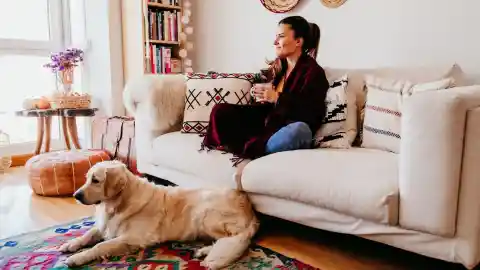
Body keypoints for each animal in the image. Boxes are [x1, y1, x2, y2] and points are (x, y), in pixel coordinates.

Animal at [62, 160, 260, 268]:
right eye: (87, 178)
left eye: (95, 180)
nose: (76, 195)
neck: (119, 203)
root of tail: (249, 206)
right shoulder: (106, 226)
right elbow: (88, 234)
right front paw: (71, 244)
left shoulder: (132, 238)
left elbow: (99, 246)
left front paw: (77, 258)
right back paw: (203, 251)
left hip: (204, 214)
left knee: (237, 238)